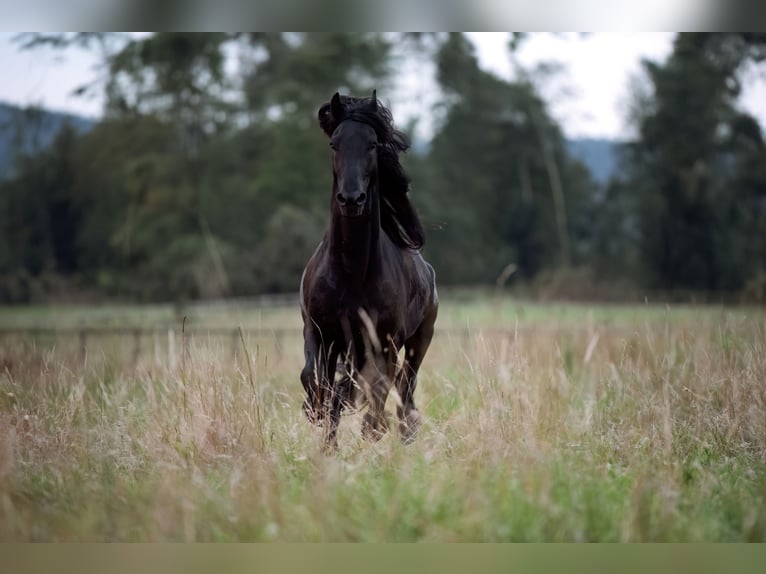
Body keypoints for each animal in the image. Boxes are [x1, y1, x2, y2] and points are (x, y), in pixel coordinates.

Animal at [298, 91, 438, 450]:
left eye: (373, 144)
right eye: (334, 143)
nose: (351, 199)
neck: (351, 271)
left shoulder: (384, 343)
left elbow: (376, 393)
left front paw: (369, 432)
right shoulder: (320, 333)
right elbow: (317, 382)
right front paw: (323, 434)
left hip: (419, 341)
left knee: (405, 391)